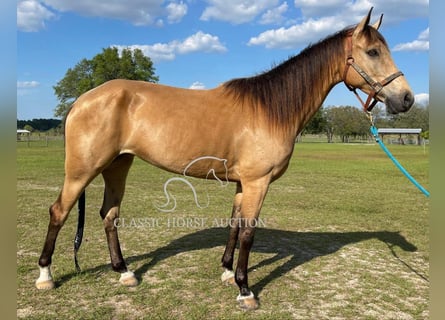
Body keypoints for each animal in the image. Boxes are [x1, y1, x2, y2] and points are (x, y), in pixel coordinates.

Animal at [34, 8, 412, 308]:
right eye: (373, 51)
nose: (406, 98)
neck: (270, 109)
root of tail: (83, 99)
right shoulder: (258, 182)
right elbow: (248, 233)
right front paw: (246, 291)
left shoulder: (243, 184)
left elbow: (235, 225)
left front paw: (228, 273)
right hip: (83, 170)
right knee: (58, 212)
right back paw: (45, 275)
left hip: (118, 165)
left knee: (109, 215)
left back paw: (125, 273)